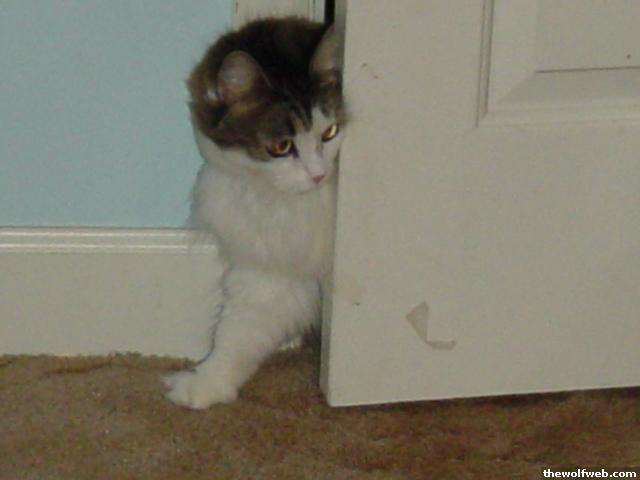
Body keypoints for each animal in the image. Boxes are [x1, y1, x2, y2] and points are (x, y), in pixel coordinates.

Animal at [162, 18, 345, 409]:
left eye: (330, 131)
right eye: (281, 147)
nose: (319, 175)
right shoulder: (273, 271)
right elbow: (237, 334)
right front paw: (206, 384)